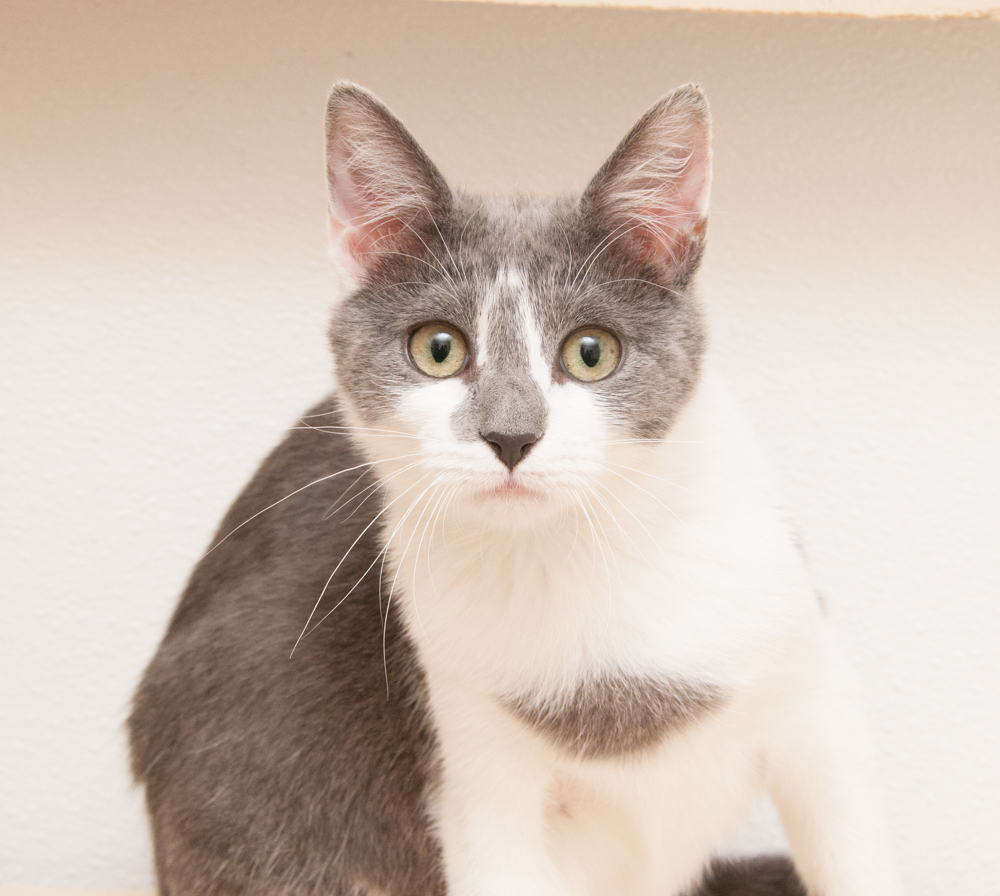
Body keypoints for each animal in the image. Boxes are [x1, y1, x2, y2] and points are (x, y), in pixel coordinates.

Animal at [129, 80, 904, 892]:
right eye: (438, 349)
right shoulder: (475, 767)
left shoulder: (817, 704)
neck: (578, 565)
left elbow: (853, 849)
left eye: (591, 352)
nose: (510, 436)